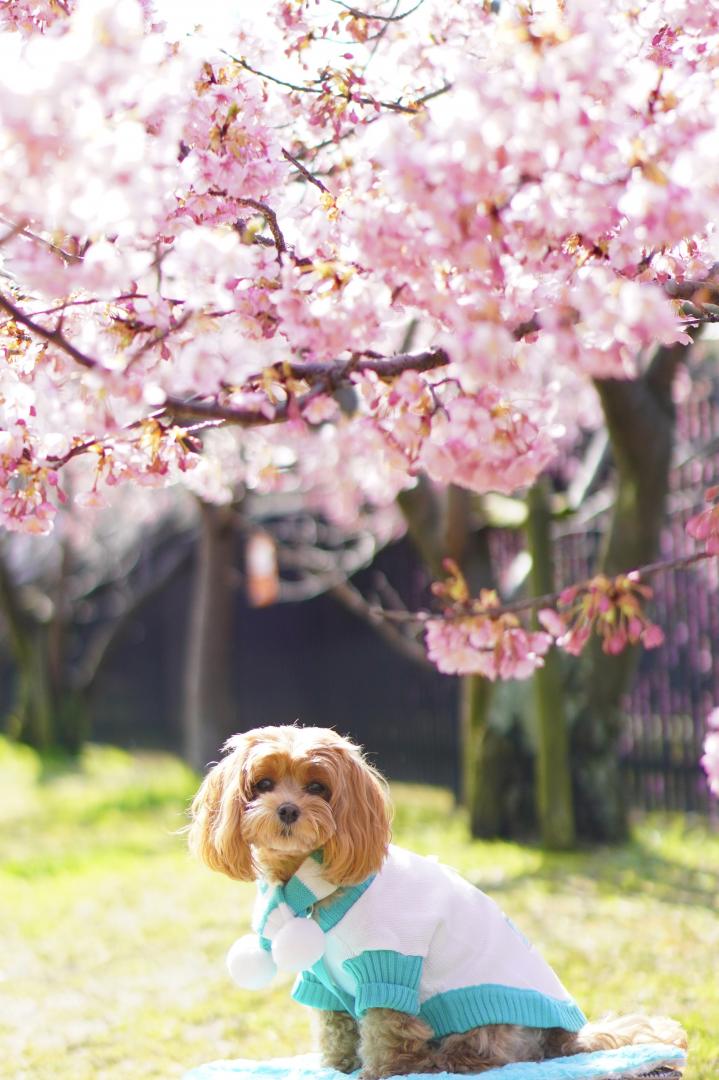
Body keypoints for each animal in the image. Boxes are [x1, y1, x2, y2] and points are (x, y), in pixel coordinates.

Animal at [187, 725, 686, 1080]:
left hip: (484, 1018)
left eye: (317, 788)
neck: (312, 882)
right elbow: (335, 1031)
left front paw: (377, 1072)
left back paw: (439, 1058)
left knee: (481, 1054)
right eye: (263, 782)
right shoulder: (323, 980)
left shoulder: (388, 964)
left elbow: (385, 1032)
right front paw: (334, 1068)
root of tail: (568, 1036)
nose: (287, 809)